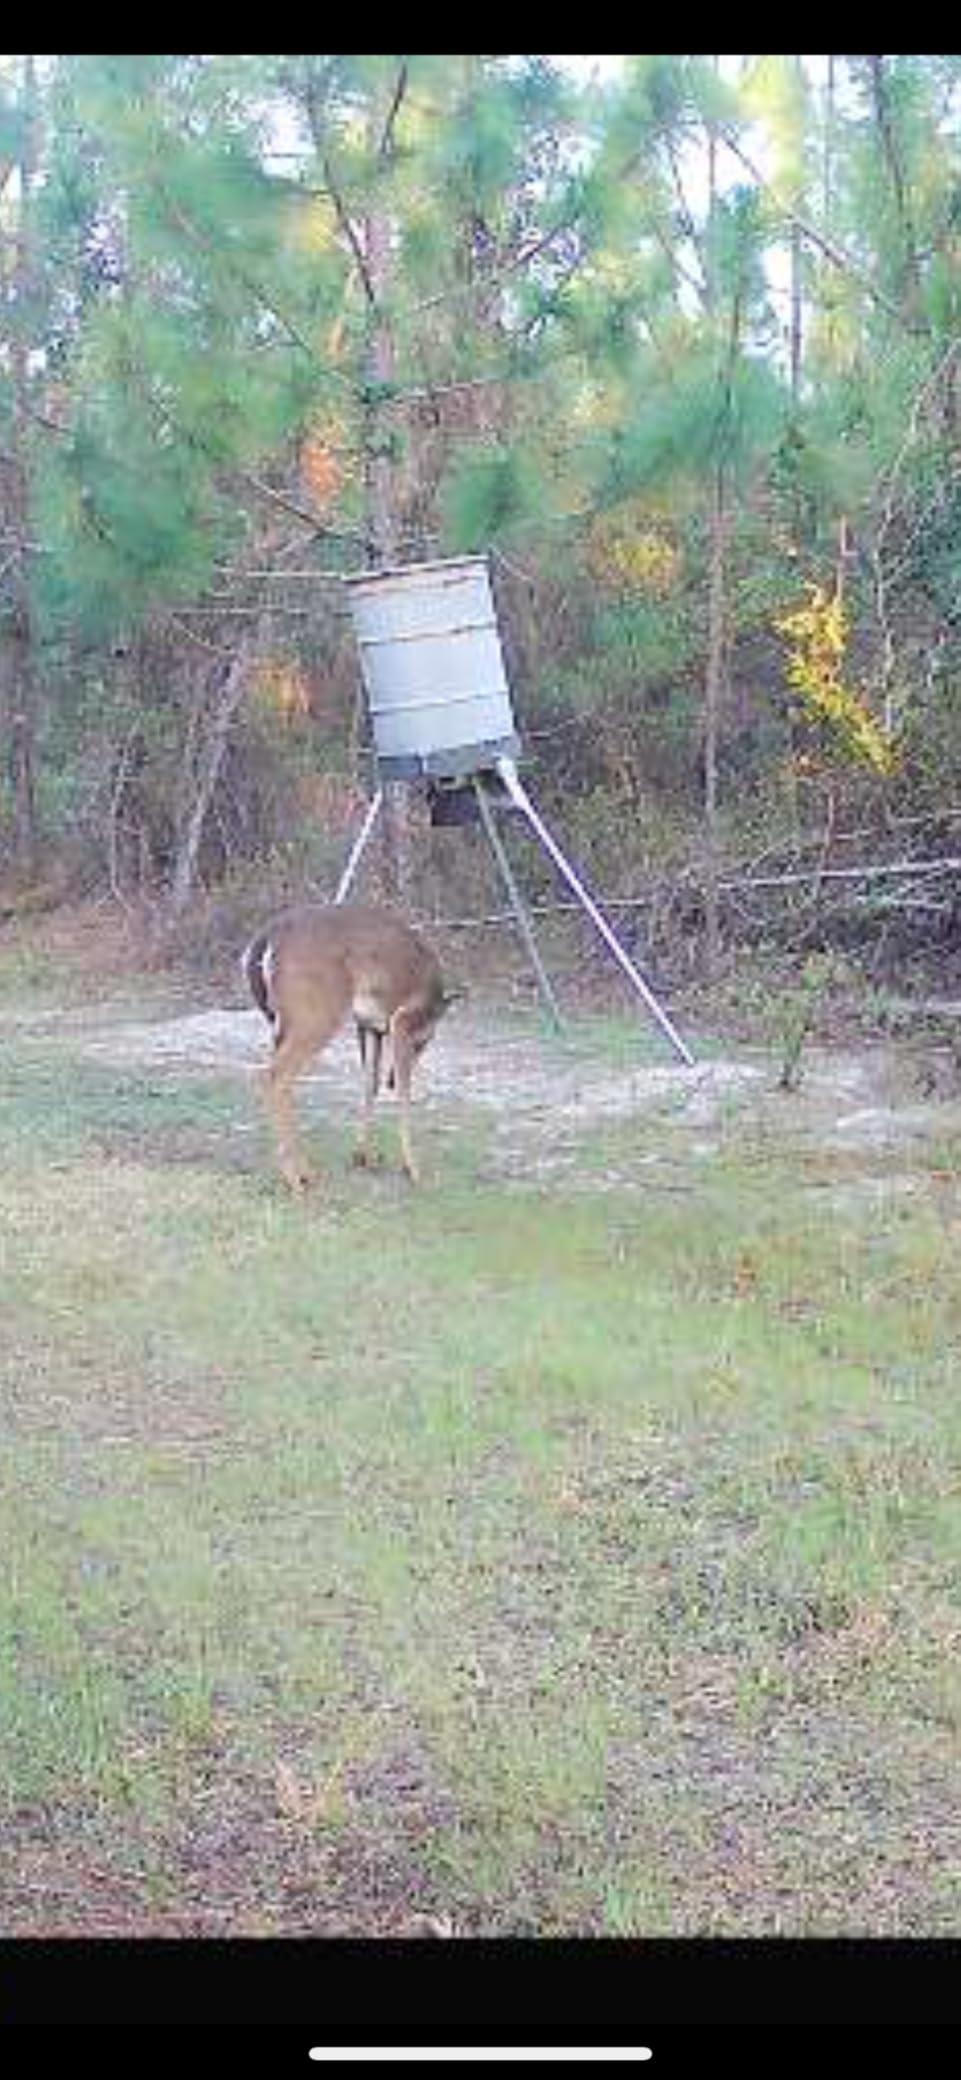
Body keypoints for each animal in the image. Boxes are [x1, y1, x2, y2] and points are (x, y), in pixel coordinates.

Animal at [242, 902, 458, 1193]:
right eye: (422, 1041)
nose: (391, 1078)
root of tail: (267, 938)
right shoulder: (402, 1020)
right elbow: (404, 1092)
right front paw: (413, 1169)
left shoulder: (369, 1026)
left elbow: (370, 1084)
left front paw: (362, 1156)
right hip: (317, 1014)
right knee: (274, 1076)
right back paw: (296, 1180)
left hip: (282, 1021)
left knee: (278, 1075)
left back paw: (303, 1173)